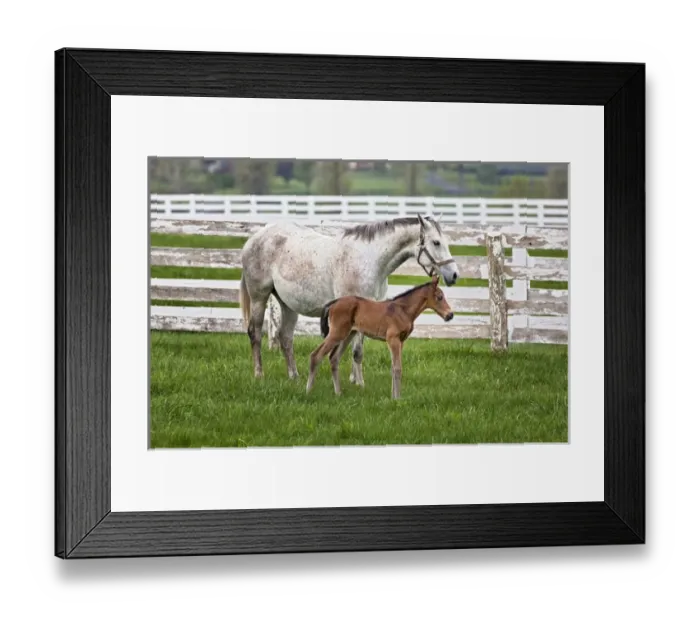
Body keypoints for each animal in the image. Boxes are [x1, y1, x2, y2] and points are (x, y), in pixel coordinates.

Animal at [239, 214, 459, 381]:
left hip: (288, 305)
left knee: (285, 337)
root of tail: (254, 238)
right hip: (259, 297)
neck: (370, 260)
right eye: (436, 242)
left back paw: (294, 376)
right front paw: (359, 383)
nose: (454, 274)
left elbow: (357, 351)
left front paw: (355, 379)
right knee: (255, 333)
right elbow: (355, 351)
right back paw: (259, 374)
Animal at [306, 274, 454, 399]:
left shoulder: (401, 341)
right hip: (337, 333)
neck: (403, 310)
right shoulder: (392, 339)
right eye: (440, 297)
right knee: (316, 355)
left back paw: (338, 393)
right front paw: (398, 399)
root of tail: (333, 303)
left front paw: (393, 397)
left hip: (348, 334)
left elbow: (393, 367)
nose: (450, 315)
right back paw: (308, 391)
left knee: (334, 358)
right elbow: (397, 368)